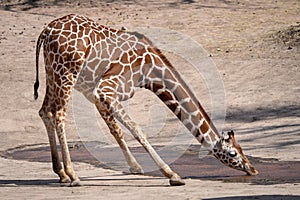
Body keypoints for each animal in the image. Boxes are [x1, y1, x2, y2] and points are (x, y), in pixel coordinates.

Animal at [33, 13, 258, 186]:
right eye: (233, 154)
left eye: (241, 149)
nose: (252, 169)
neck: (152, 73)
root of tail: (47, 31)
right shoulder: (106, 89)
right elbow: (136, 129)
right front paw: (172, 174)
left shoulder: (95, 93)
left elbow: (116, 130)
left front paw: (135, 167)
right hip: (66, 73)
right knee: (58, 113)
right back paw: (72, 175)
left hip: (52, 72)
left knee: (45, 111)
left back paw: (61, 173)